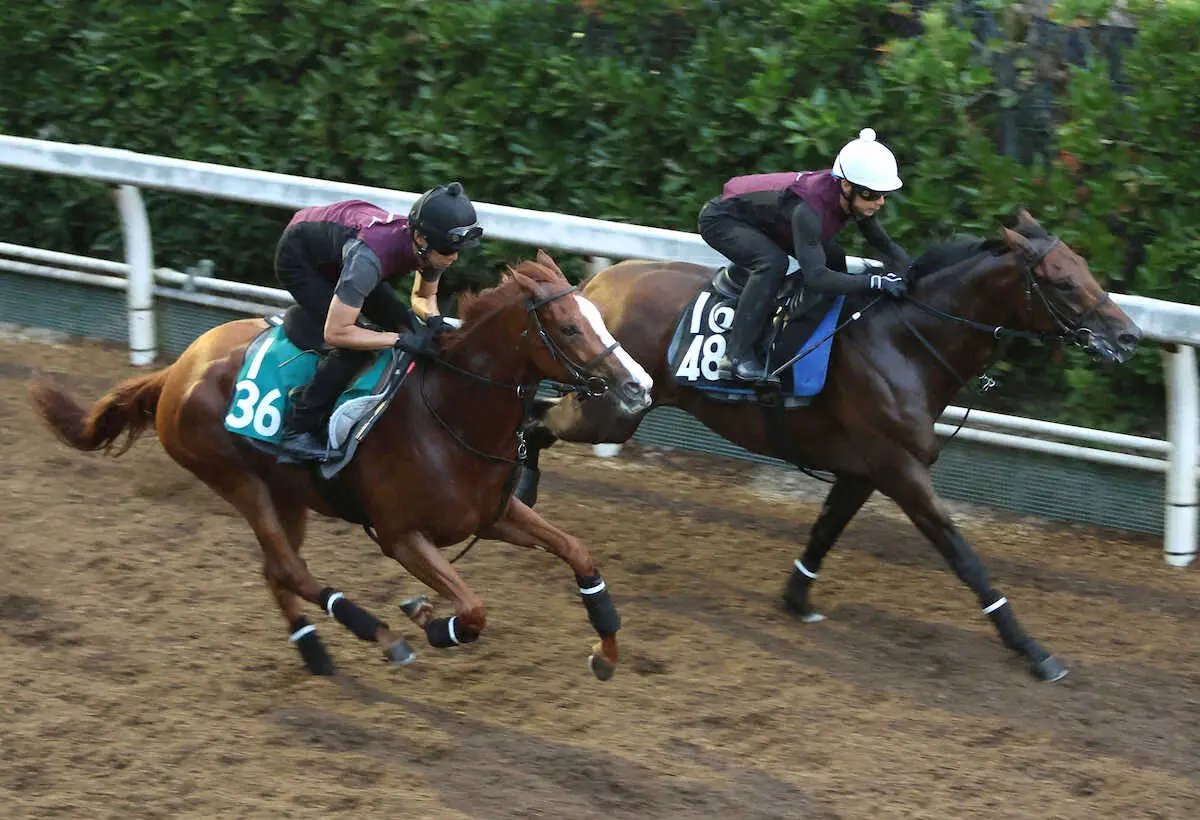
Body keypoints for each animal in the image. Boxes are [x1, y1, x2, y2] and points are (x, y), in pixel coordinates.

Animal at [28, 249, 652, 681]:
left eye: (600, 316)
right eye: (568, 327)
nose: (639, 385)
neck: (449, 413)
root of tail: (178, 367)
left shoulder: (492, 515)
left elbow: (579, 553)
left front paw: (605, 651)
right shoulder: (401, 536)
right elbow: (473, 610)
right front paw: (427, 618)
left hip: (287, 493)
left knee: (276, 570)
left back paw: (313, 648)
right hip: (235, 479)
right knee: (293, 570)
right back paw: (379, 634)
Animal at [525, 211, 1142, 681]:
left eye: (1084, 267)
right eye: (1061, 281)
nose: (1129, 335)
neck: (906, 339)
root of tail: (588, 291)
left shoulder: (864, 469)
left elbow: (825, 531)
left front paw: (797, 600)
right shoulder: (900, 468)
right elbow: (964, 557)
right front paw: (1032, 649)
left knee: (534, 415)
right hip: (611, 413)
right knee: (536, 422)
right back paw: (522, 493)